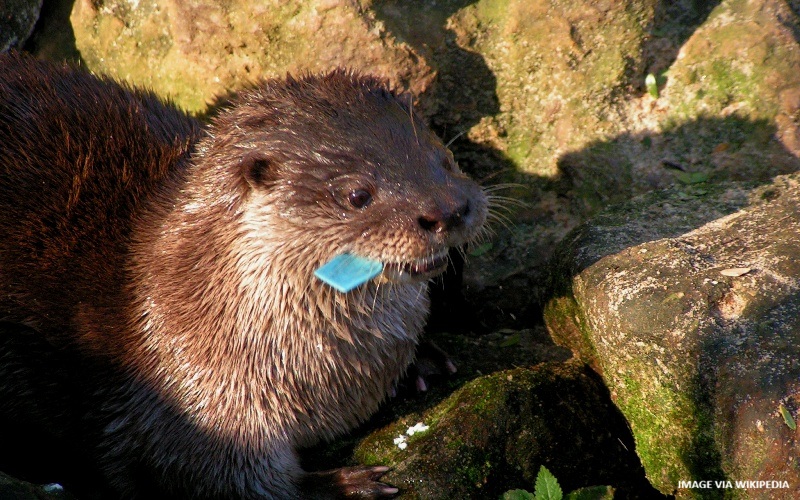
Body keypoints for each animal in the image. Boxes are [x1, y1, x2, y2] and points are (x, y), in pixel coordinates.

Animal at [0, 51, 488, 498]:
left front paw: (422, 359)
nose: (449, 209)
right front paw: (342, 485)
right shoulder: (190, 403)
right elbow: (212, 477)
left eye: (444, 158)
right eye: (357, 194)